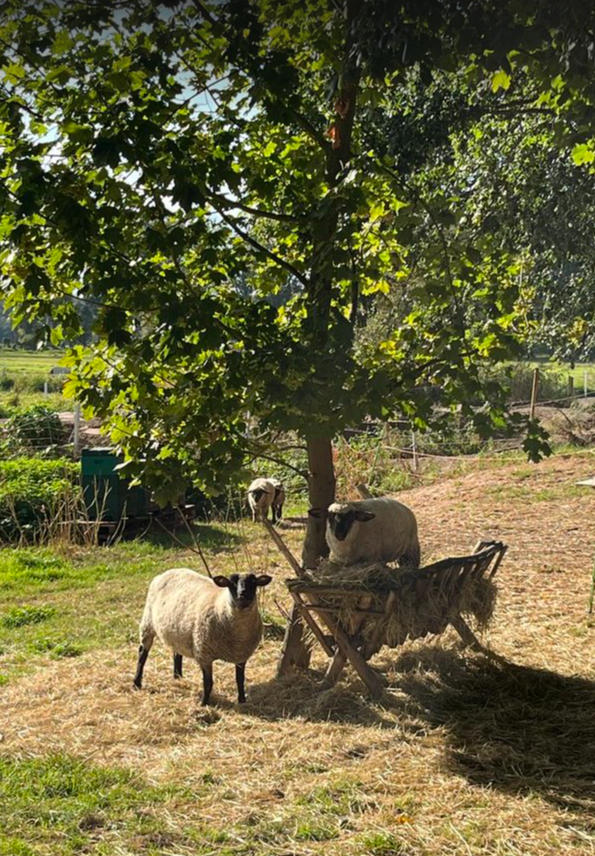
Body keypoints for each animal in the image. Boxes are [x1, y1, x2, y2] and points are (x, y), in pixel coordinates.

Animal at [133, 568, 272, 704]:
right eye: (231, 583)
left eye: (253, 582)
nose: (242, 594)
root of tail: (167, 572)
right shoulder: (204, 655)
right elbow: (208, 682)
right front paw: (204, 703)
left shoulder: (241, 655)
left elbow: (240, 679)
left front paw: (242, 699)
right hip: (148, 622)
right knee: (142, 653)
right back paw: (136, 683)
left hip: (178, 632)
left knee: (177, 653)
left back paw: (178, 677)